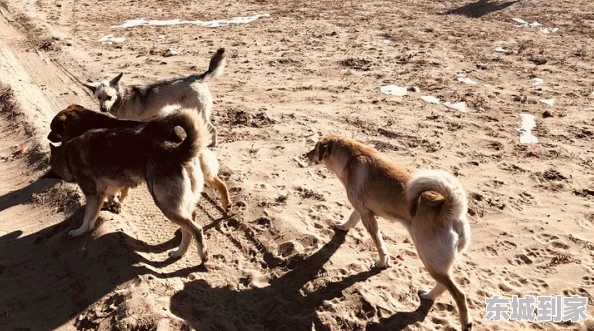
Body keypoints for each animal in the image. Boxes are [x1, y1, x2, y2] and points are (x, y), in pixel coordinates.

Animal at [306, 136, 472, 331]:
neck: (351, 158)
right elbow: (352, 219)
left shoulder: (367, 216)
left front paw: (382, 262)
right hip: (437, 263)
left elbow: (379, 243)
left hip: (429, 257)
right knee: (445, 286)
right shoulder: (361, 209)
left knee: (459, 294)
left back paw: (465, 322)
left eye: (316, 148)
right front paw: (344, 226)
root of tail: (449, 210)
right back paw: (428, 296)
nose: (306, 154)